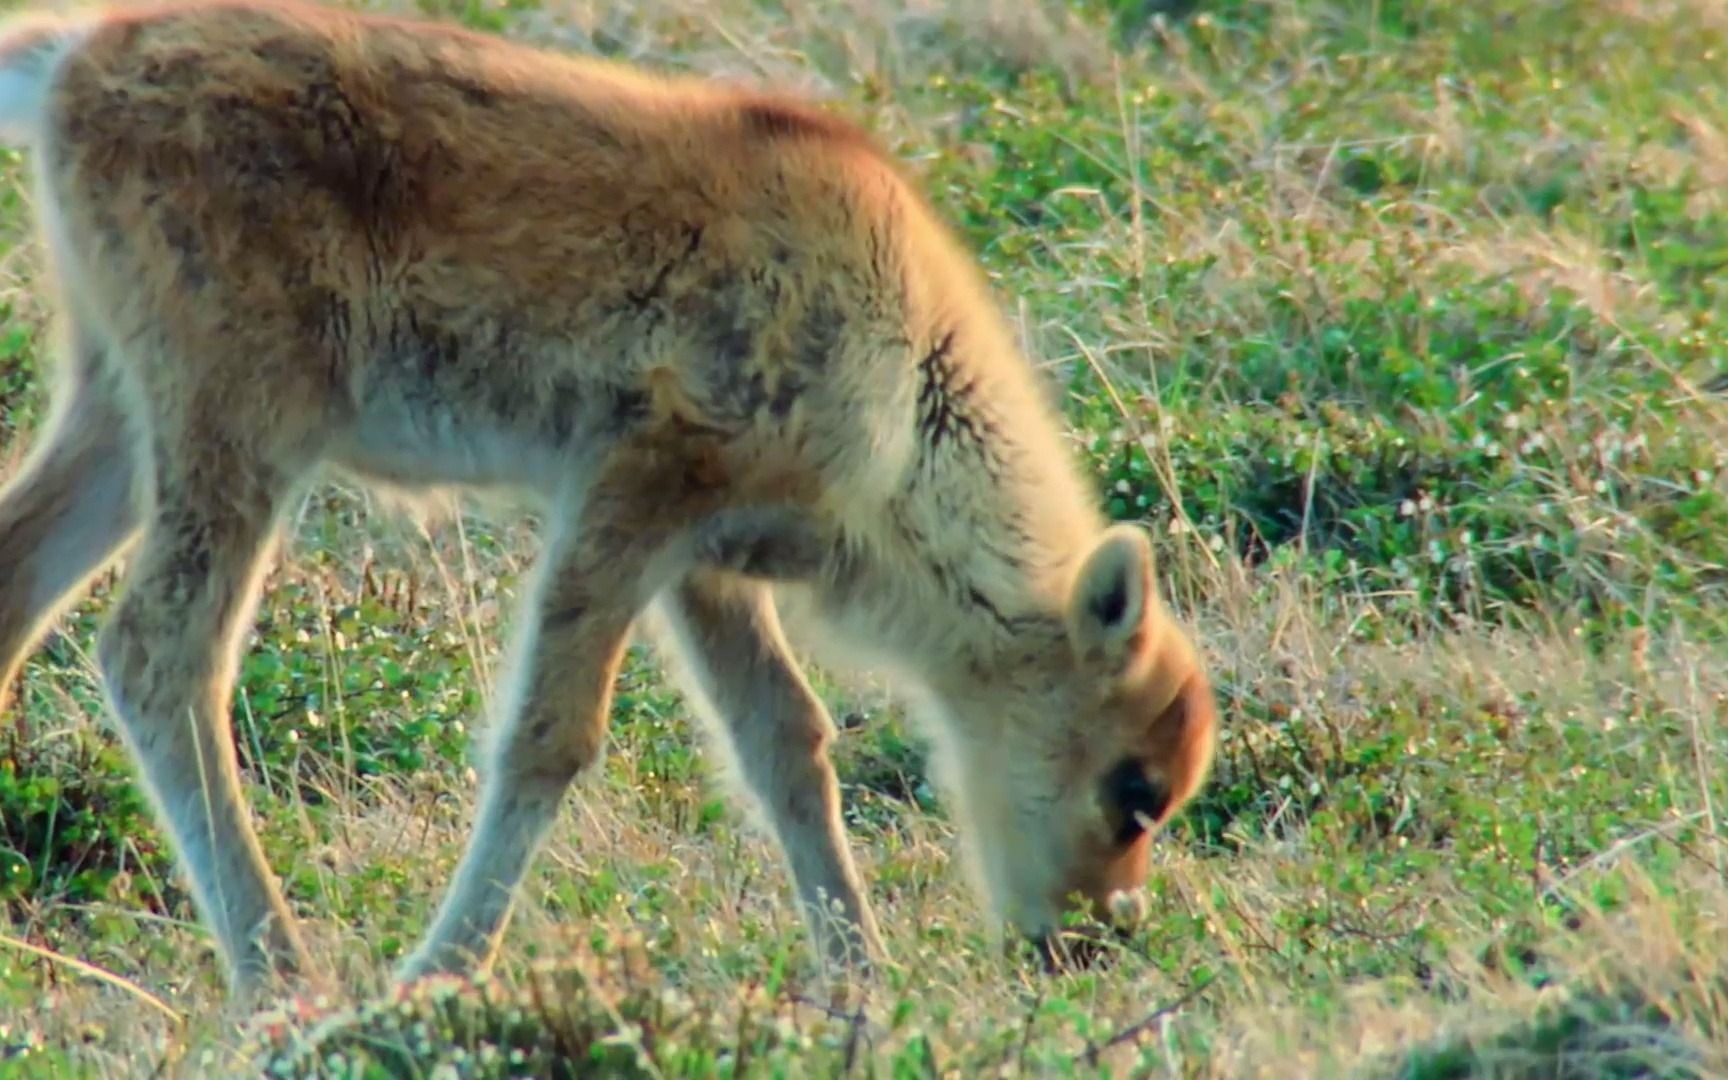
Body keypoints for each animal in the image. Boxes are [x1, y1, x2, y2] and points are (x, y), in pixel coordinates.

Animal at [0, 0, 1216, 1002]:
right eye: (1136, 788)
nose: (1085, 944)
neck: (909, 373)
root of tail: (81, 54)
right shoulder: (630, 497)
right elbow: (551, 735)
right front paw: (437, 978)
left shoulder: (705, 563)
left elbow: (786, 745)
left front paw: (859, 977)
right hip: (238, 433)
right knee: (160, 655)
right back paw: (281, 981)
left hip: (122, 419)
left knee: (23, 576)